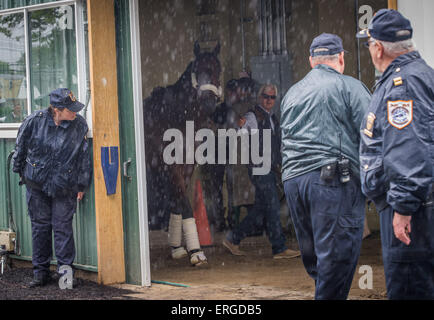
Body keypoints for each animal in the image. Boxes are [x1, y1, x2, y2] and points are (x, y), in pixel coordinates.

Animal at [144, 42, 222, 266]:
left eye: (218, 69)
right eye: (197, 69)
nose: (208, 103)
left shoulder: (187, 166)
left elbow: (177, 202)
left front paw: (177, 247)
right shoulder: (170, 167)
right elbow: (184, 203)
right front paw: (196, 251)